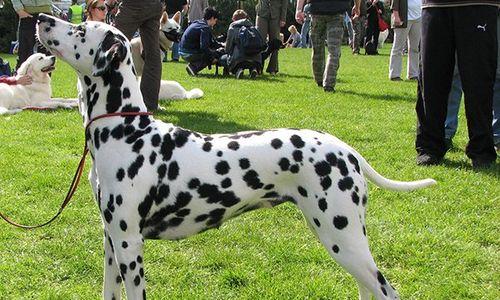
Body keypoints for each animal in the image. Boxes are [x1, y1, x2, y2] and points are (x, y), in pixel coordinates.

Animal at [36, 14, 434, 300]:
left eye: (80, 28)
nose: (41, 16)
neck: (126, 130)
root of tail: (346, 150)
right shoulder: (110, 239)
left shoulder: (129, 243)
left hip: (344, 238)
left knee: (386, 290)